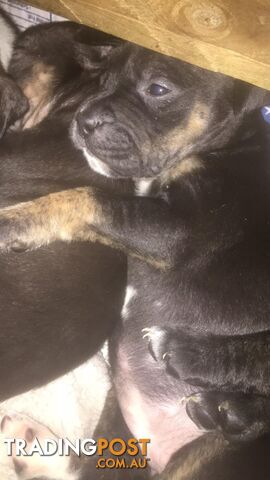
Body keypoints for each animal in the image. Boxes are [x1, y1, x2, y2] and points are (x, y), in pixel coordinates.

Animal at [2, 40, 270, 472]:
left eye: (158, 89)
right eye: (107, 77)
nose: (83, 121)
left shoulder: (181, 228)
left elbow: (87, 198)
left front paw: (13, 222)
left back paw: (199, 368)